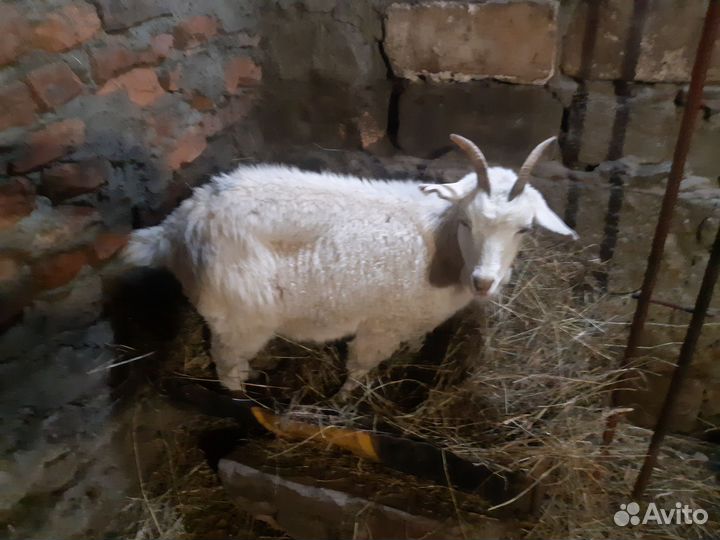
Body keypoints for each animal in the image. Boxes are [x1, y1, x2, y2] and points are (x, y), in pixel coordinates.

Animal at [124, 135, 577, 395]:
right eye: (467, 220)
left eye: (524, 229)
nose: (484, 282)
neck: (442, 240)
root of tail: (180, 223)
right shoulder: (380, 324)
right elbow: (359, 368)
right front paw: (344, 401)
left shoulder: (412, 320)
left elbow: (410, 348)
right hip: (241, 316)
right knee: (227, 366)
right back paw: (244, 397)